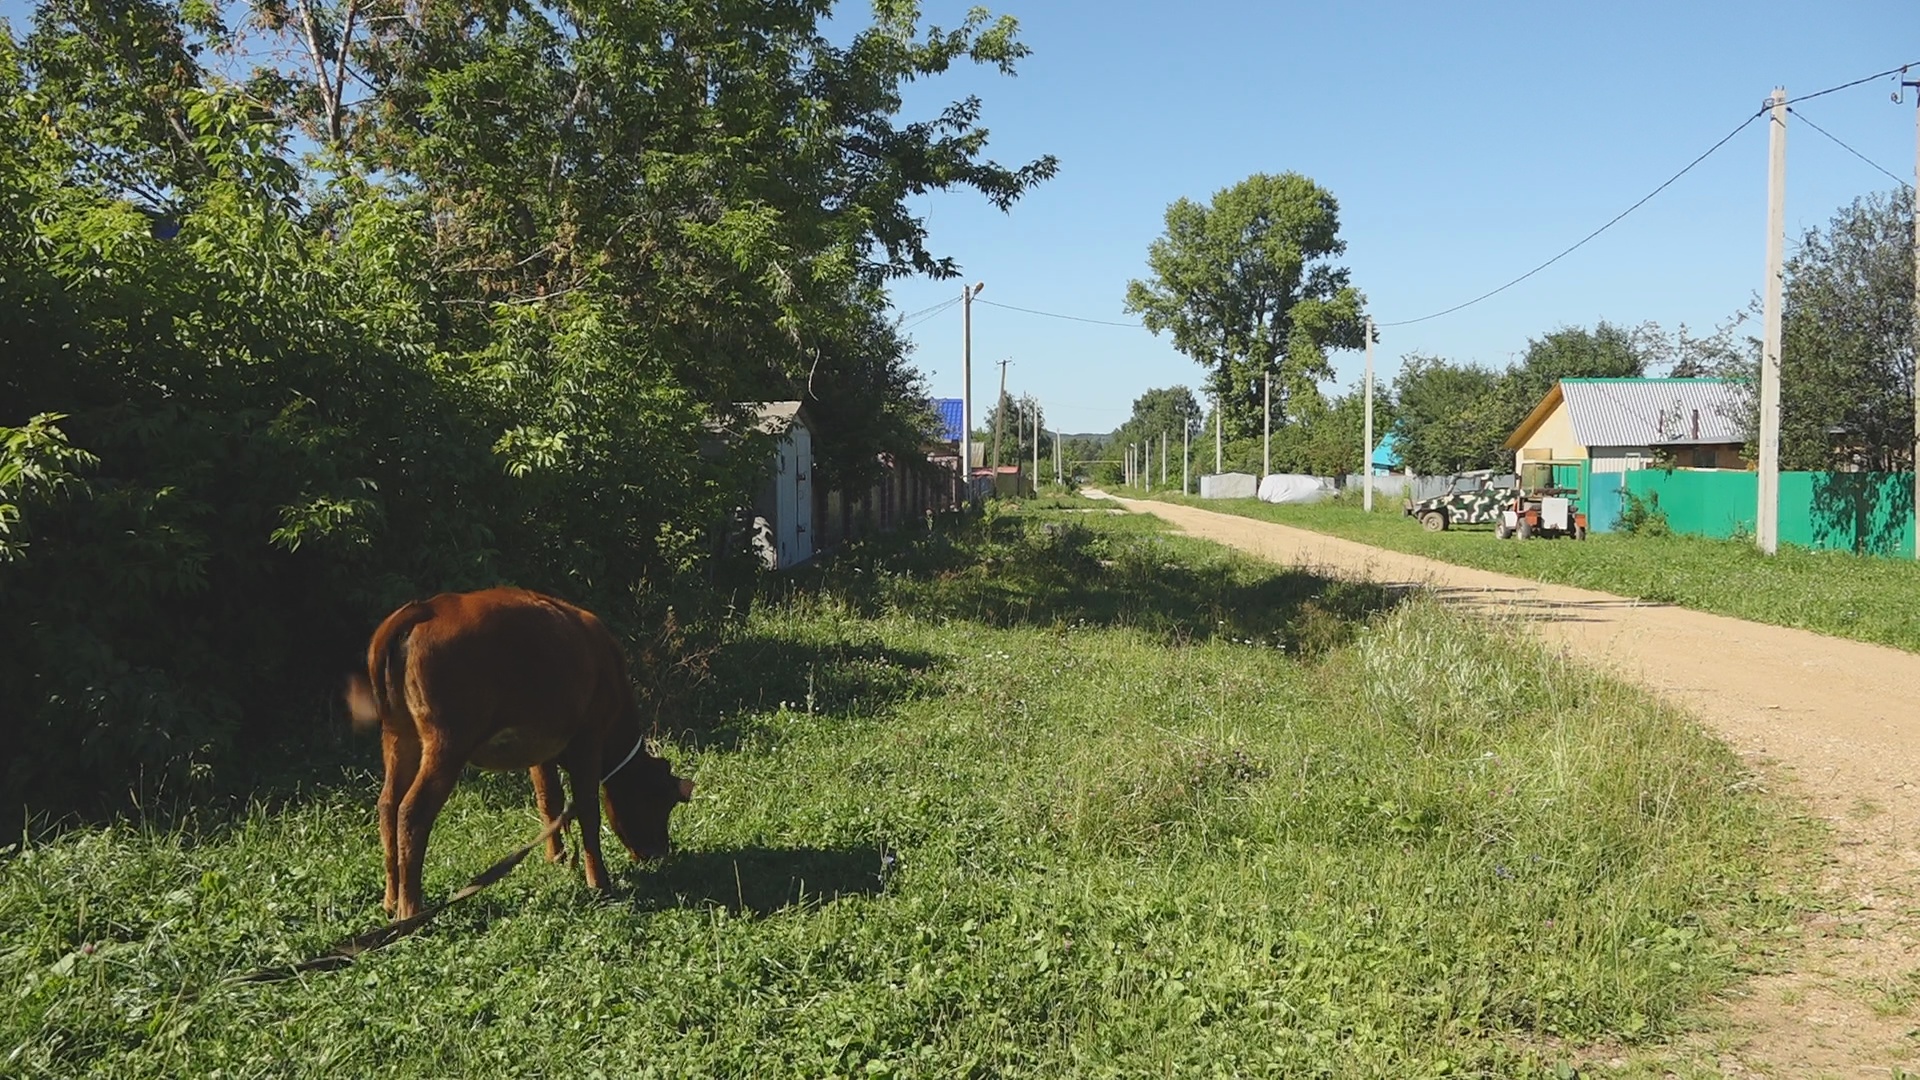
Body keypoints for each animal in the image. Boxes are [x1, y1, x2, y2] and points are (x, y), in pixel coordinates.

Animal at [347, 584, 698, 910]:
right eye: (659, 801)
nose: (659, 852)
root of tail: (428, 608)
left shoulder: (541, 748)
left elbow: (549, 799)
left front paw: (557, 857)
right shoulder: (588, 737)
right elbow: (588, 809)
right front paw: (599, 882)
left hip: (399, 735)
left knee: (388, 804)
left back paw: (391, 900)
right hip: (448, 743)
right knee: (411, 811)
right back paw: (410, 908)